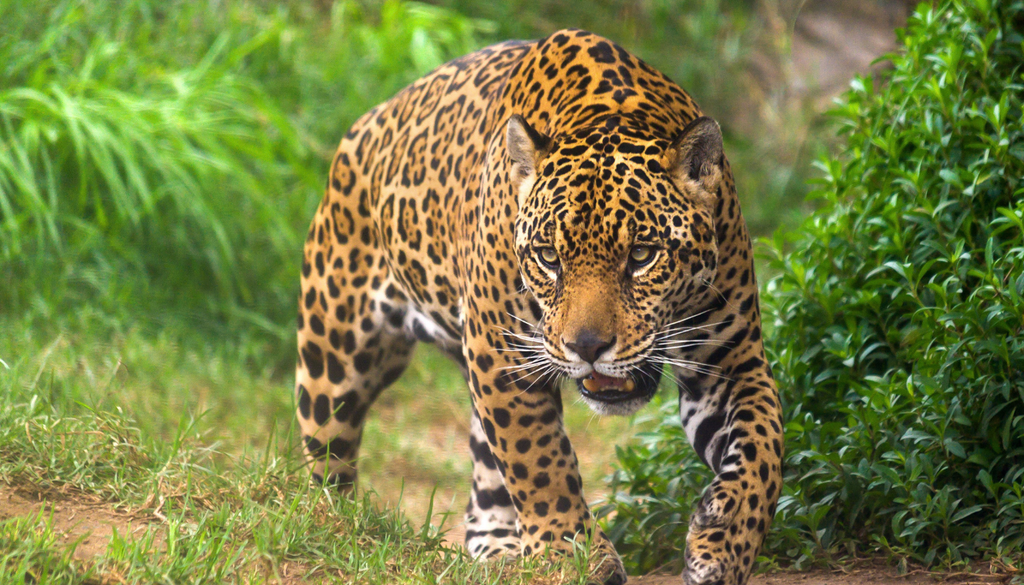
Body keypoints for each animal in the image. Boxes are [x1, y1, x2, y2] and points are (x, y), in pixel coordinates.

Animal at [294, 29, 783, 585]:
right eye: (550, 257)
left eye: (642, 255)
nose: (588, 347)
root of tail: (367, 122)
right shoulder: (501, 356)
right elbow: (539, 461)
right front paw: (572, 556)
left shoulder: (730, 362)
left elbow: (764, 446)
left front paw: (723, 542)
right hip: (335, 358)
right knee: (326, 462)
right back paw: (333, 531)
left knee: (485, 487)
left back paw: (502, 553)